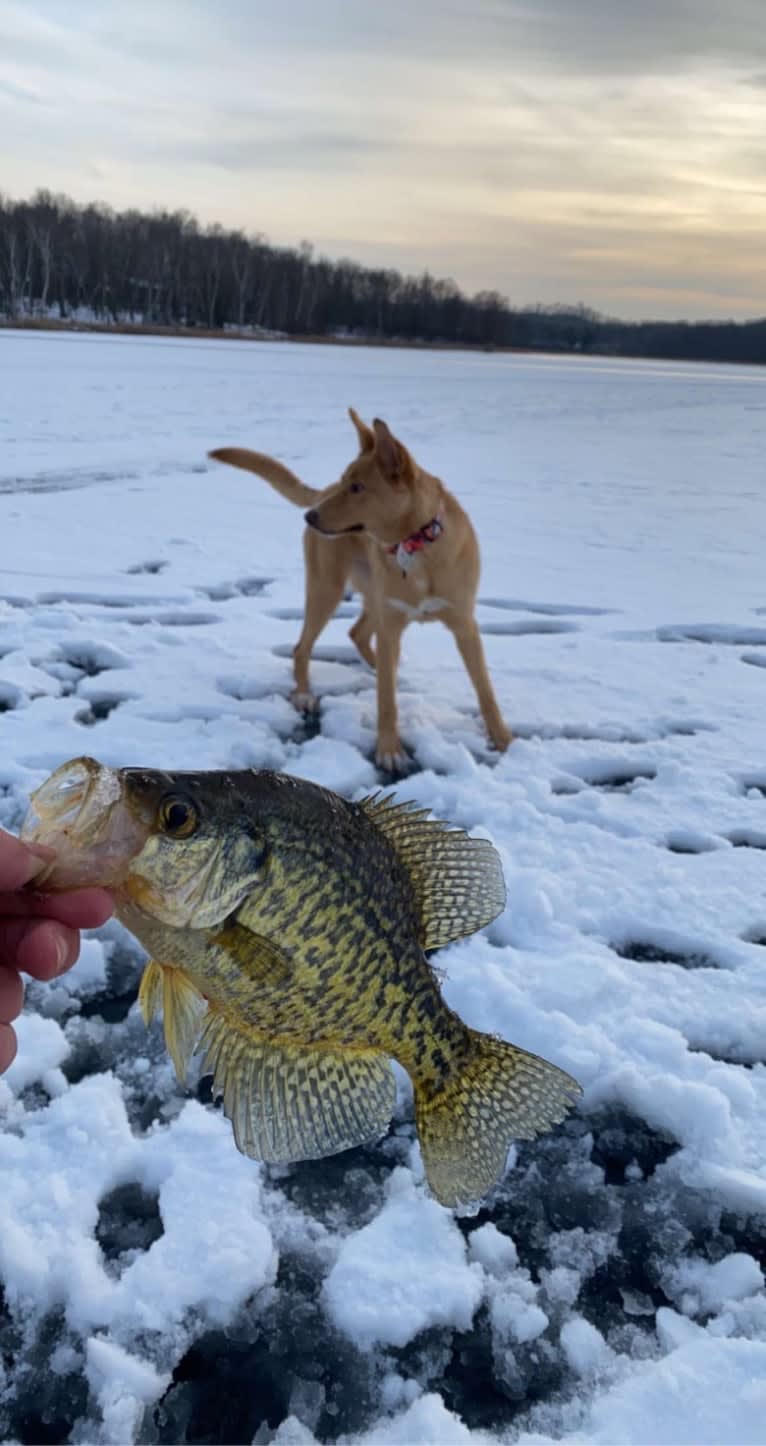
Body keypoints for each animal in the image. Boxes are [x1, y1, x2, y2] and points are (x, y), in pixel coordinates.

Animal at [208, 410, 508, 769]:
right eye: (345, 481)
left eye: (357, 487)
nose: (310, 517)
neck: (415, 546)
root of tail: (321, 492)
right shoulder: (391, 625)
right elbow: (386, 701)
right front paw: (389, 750)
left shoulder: (464, 625)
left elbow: (485, 690)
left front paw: (503, 740)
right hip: (327, 590)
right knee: (302, 648)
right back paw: (305, 694)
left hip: (369, 597)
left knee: (357, 634)